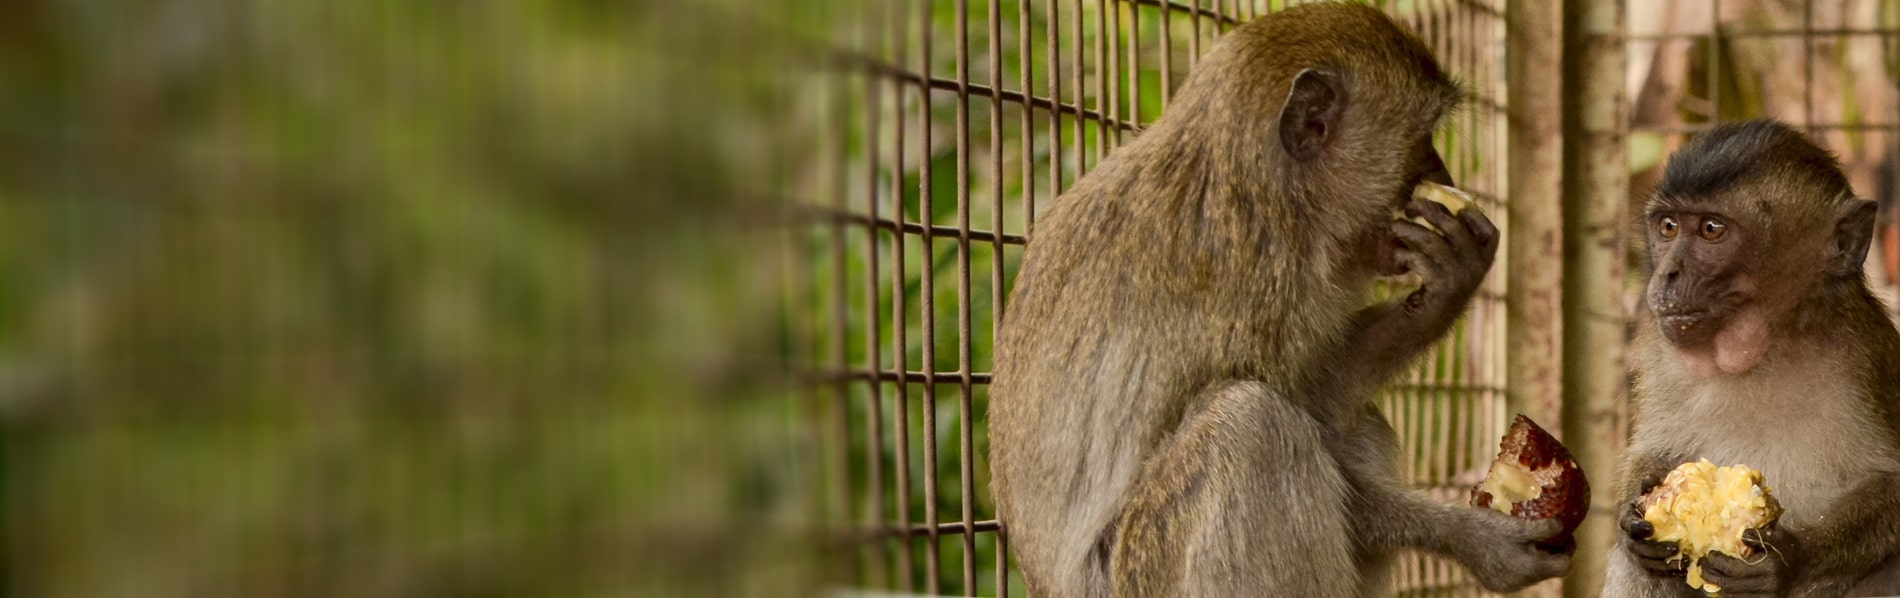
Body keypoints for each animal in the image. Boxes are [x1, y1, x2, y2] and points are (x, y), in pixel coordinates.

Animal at [985, 4, 1573, 596]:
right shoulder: (1260, 283)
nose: (1445, 176)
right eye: (1422, 137)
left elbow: (1324, 398)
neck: (1261, 187)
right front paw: (1476, 540)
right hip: (1141, 573)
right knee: (1251, 424)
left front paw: (1445, 291)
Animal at [1605, 118, 1900, 597]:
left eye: (1711, 229)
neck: (1766, 349)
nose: (1667, 274)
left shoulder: (1864, 356)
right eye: (1668, 227)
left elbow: (1890, 483)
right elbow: (1654, 453)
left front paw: (1788, 559)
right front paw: (1638, 510)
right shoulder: (1660, 353)